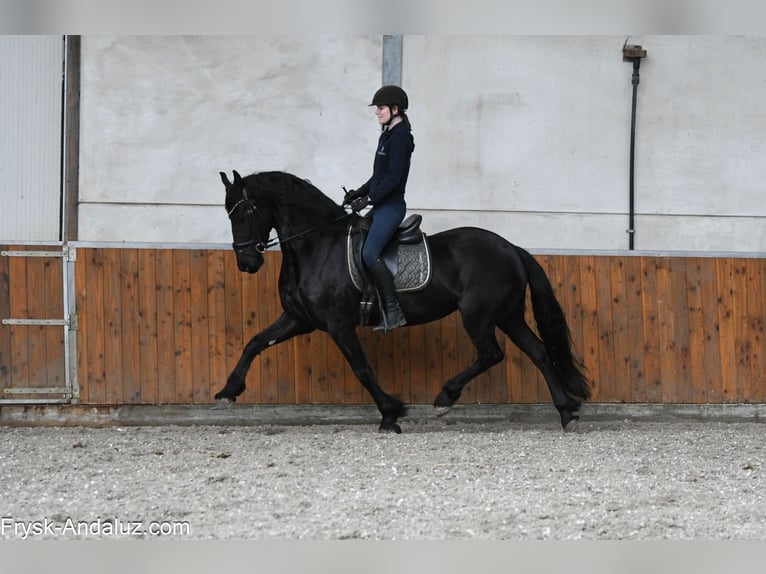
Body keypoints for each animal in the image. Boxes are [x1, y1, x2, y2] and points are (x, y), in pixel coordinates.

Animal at [216, 170, 591, 433]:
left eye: (243, 213)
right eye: (228, 214)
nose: (246, 263)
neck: (316, 245)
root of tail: (511, 248)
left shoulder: (338, 324)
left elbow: (361, 369)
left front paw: (390, 413)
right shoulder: (299, 320)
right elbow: (254, 342)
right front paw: (228, 392)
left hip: (479, 315)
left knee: (491, 354)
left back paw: (445, 398)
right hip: (508, 315)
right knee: (539, 352)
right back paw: (565, 412)